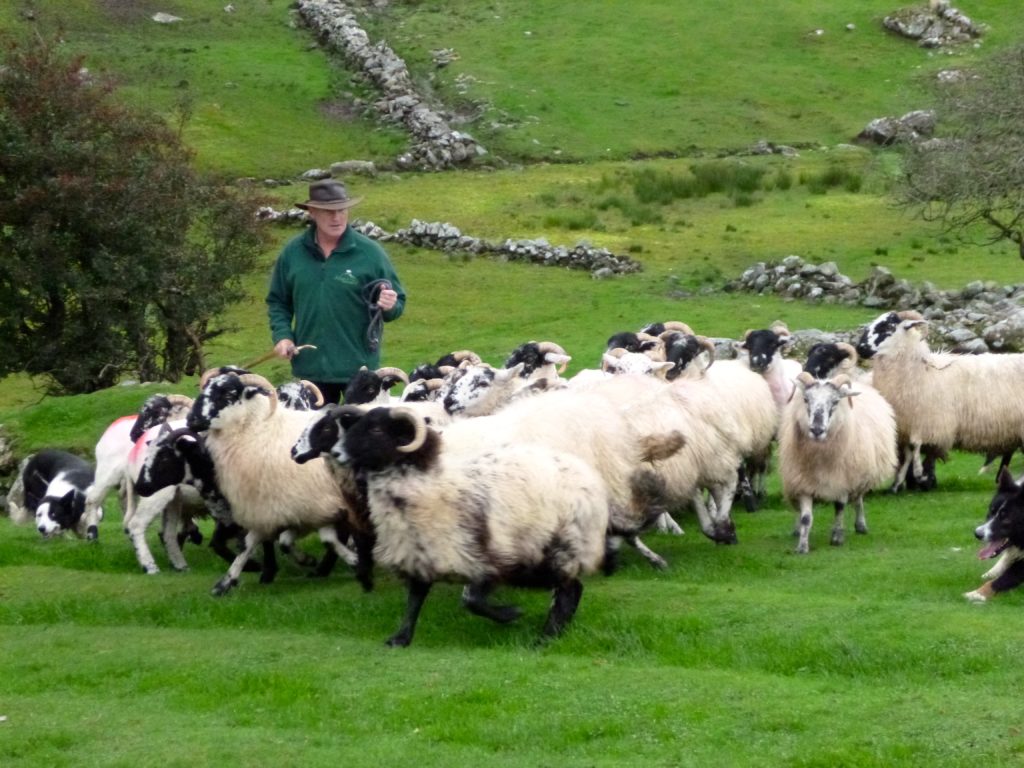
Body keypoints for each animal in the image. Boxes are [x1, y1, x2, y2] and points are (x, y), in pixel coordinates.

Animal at [186, 371, 360, 595]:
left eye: (228, 393)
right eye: (205, 388)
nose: (191, 419)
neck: (257, 429)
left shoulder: (311, 503)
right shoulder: (264, 504)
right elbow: (251, 544)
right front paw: (226, 582)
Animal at [328, 404, 614, 647]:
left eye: (376, 429)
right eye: (354, 426)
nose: (335, 453)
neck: (427, 483)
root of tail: (587, 476)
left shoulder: (484, 554)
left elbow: (471, 600)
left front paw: (510, 614)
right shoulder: (423, 553)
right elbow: (415, 600)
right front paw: (400, 638)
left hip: (560, 546)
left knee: (569, 589)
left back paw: (546, 638)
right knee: (569, 589)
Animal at [778, 372, 897, 554]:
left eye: (835, 402)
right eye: (806, 399)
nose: (817, 430)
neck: (820, 458)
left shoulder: (842, 480)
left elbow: (840, 508)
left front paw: (837, 537)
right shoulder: (803, 482)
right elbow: (806, 517)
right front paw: (802, 546)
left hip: (861, 474)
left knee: (858, 499)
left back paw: (861, 525)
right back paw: (797, 529)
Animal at [865, 310, 1024, 491]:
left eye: (888, 327)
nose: (860, 347)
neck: (923, 371)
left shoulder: (932, 425)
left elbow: (920, 449)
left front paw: (923, 479)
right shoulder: (907, 426)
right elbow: (909, 453)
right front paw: (903, 483)